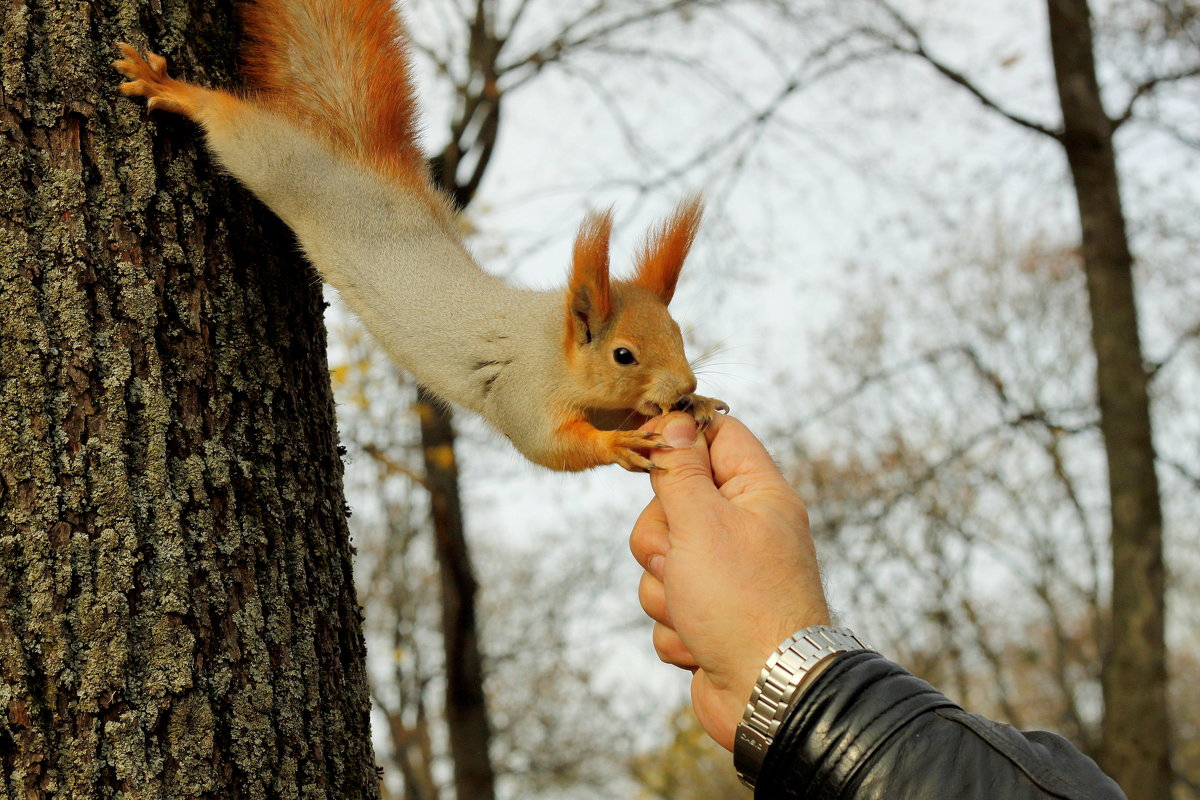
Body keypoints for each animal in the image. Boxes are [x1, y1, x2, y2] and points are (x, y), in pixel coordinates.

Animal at [112, 0, 724, 472]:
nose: (684, 385)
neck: (552, 345)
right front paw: (617, 442)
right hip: (280, 162)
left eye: (677, 332)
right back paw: (170, 88)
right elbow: (548, 446)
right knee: (232, 126)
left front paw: (698, 407)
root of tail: (362, 162)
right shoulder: (523, 391)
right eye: (624, 355)